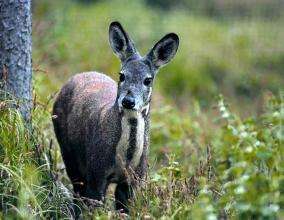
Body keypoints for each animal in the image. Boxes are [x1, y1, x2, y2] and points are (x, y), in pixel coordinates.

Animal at [52, 21, 179, 212]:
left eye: (148, 80)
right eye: (122, 75)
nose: (128, 101)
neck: (124, 160)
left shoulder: (134, 180)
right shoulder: (96, 172)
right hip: (67, 150)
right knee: (77, 191)